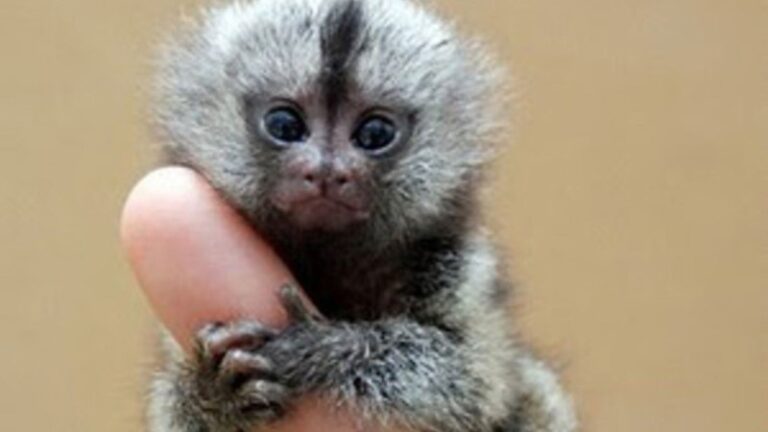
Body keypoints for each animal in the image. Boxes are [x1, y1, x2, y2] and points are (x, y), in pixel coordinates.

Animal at [147, 0, 577, 431]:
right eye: (284, 124)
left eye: (374, 133)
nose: (326, 171)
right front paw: (211, 389)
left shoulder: (456, 267)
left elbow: (472, 378)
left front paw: (323, 347)